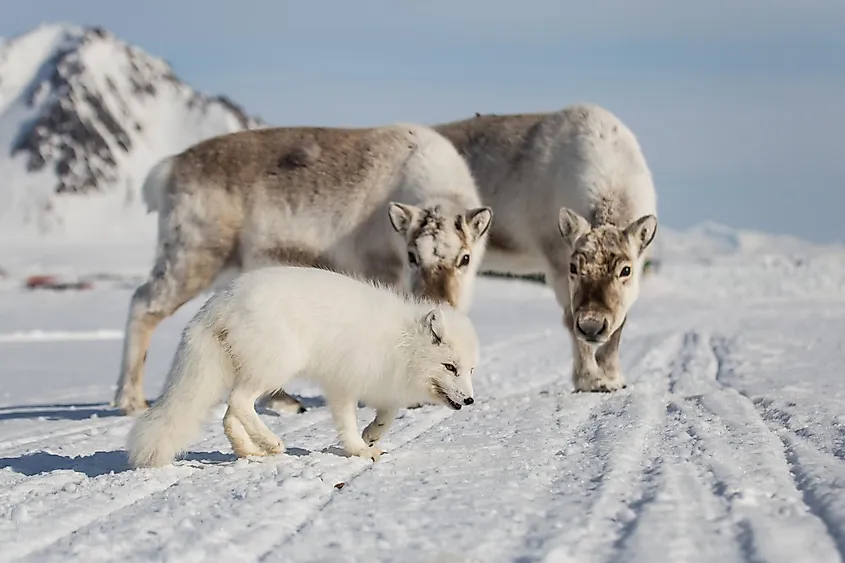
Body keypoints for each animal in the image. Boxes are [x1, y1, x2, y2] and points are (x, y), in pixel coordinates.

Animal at [127, 266, 482, 470]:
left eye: (470, 371)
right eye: (450, 367)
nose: (469, 401)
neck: (402, 341)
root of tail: (220, 301)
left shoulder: (383, 382)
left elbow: (388, 414)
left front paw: (372, 435)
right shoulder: (344, 382)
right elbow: (348, 423)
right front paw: (359, 449)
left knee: (229, 415)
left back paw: (250, 452)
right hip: (278, 366)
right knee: (239, 401)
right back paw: (272, 443)